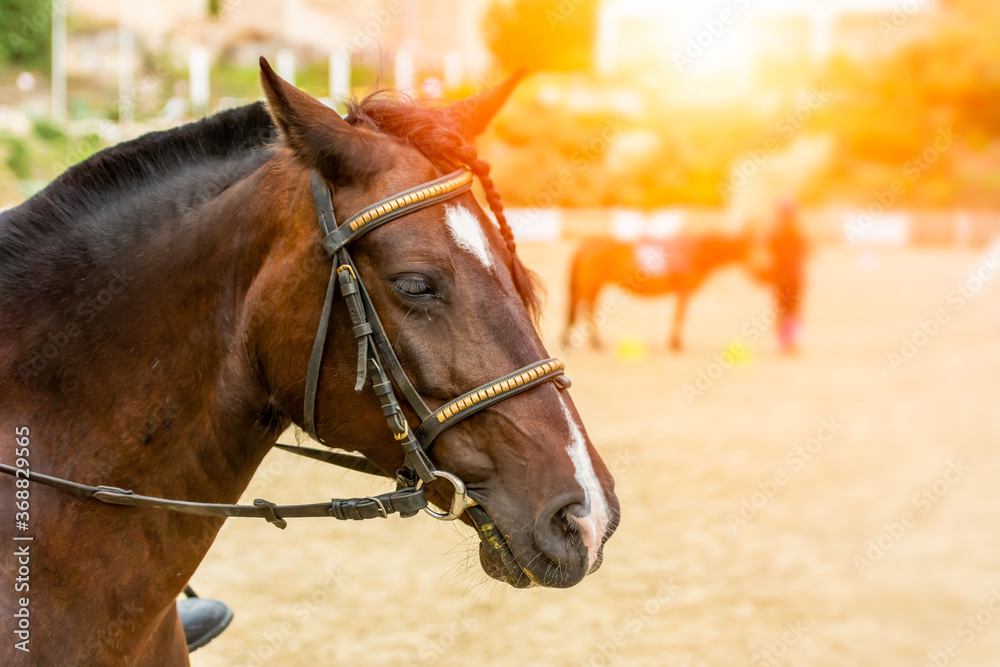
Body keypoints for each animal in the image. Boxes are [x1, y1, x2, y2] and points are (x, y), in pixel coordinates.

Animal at [562, 221, 807, 352]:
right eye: (753, 248)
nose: (766, 274)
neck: (696, 251)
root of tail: (585, 245)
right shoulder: (685, 292)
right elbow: (680, 316)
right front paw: (676, 343)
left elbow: (679, 315)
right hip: (592, 286)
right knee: (584, 310)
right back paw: (592, 343)